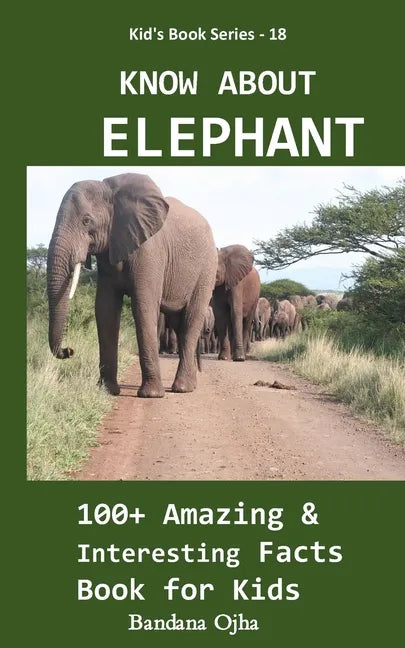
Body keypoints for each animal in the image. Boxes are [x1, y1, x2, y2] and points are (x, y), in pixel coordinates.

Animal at [47, 173, 217, 397]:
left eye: (86, 221)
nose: (69, 350)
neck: (111, 191)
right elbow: (105, 308)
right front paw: (107, 391)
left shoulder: (150, 250)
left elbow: (143, 307)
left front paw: (151, 395)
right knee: (178, 324)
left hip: (207, 269)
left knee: (191, 319)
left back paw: (182, 389)